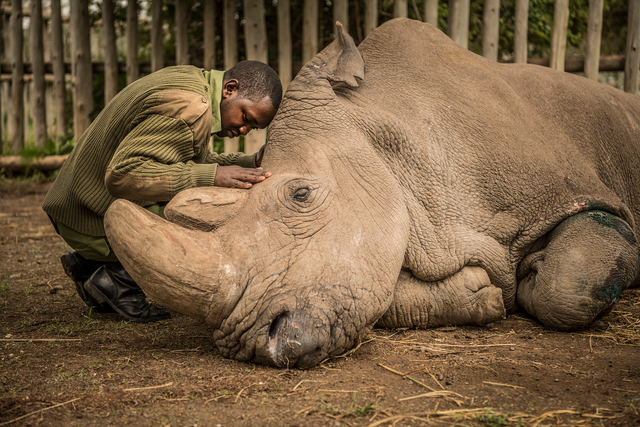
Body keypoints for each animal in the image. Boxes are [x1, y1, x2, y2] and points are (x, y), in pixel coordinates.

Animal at [104, 18, 640, 368]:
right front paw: (483, 293)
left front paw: (531, 276)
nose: (255, 345)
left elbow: (566, 287)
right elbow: (380, 294)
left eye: (301, 195)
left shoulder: (576, 197)